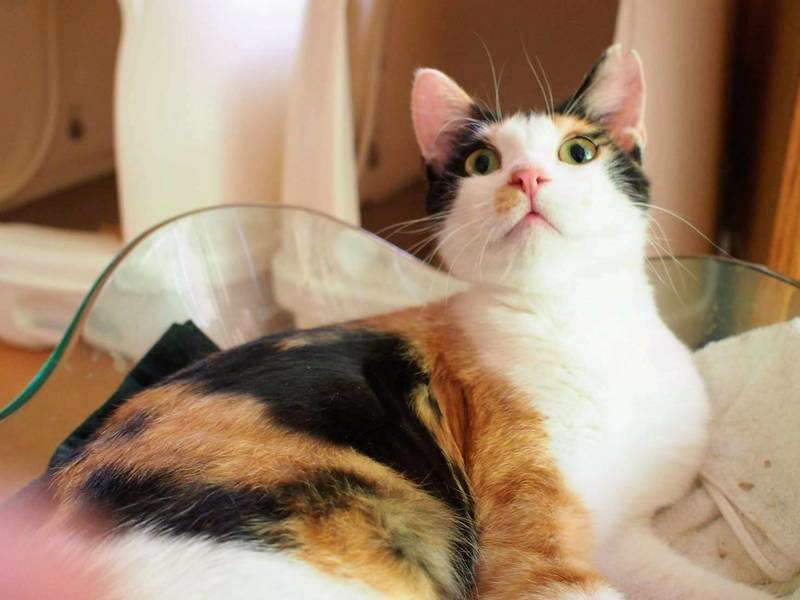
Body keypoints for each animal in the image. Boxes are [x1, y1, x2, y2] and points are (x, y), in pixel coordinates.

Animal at [31, 46, 774, 600]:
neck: (572, 320)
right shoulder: (530, 551)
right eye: (482, 163)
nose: (528, 178)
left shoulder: (624, 533)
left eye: (578, 153)